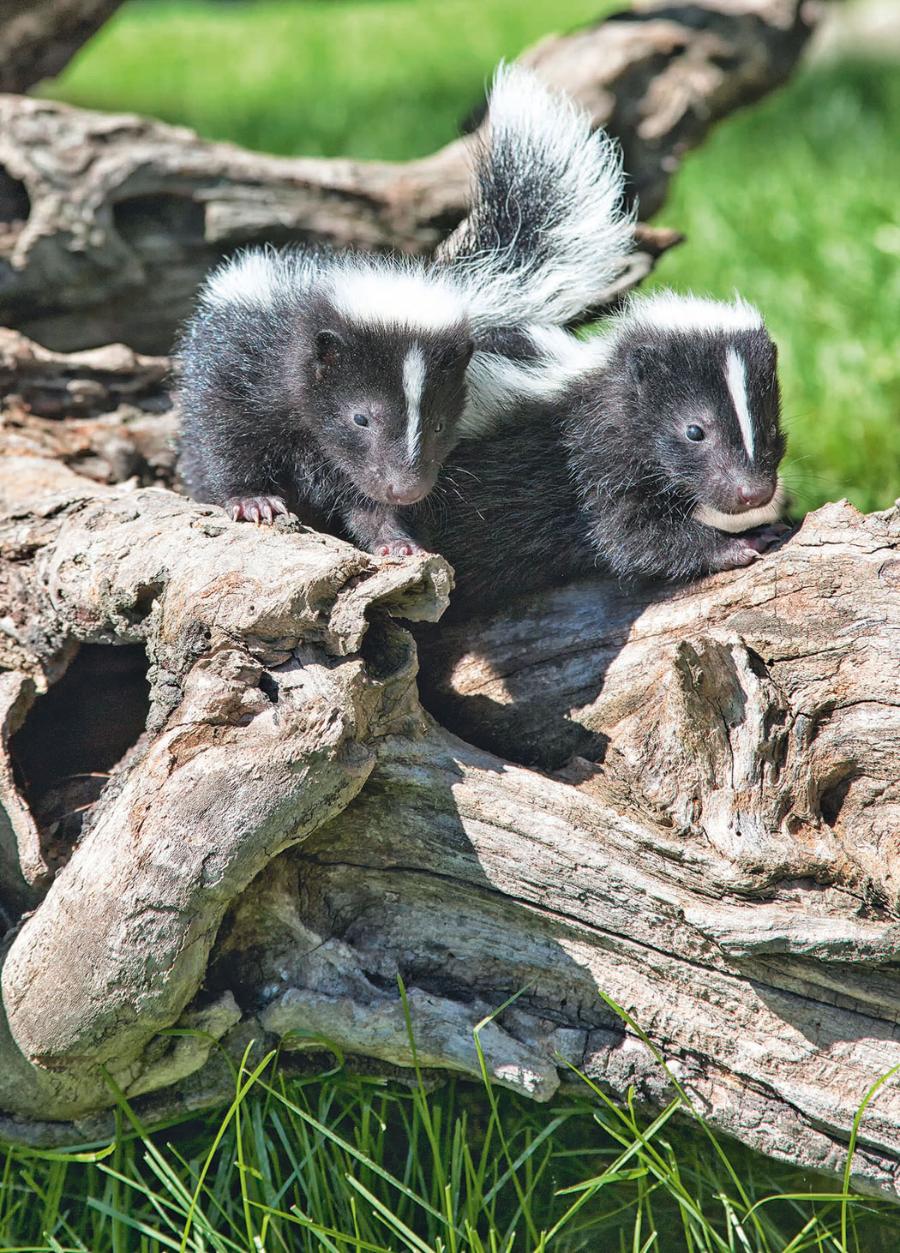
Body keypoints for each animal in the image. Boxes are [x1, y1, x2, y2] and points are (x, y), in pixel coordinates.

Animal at [177, 66, 634, 556]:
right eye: (361, 417)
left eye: (439, 425)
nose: (407, 488)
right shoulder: (244, 369)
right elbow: (227, 436)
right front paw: (252, 500)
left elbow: (364, 499)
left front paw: (398, 539)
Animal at [408, 293, 792, 616]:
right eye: (695, 431)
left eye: (772, 428)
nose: (753, 492)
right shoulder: (590, 457)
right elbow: (630, 534)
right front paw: (739, 542)